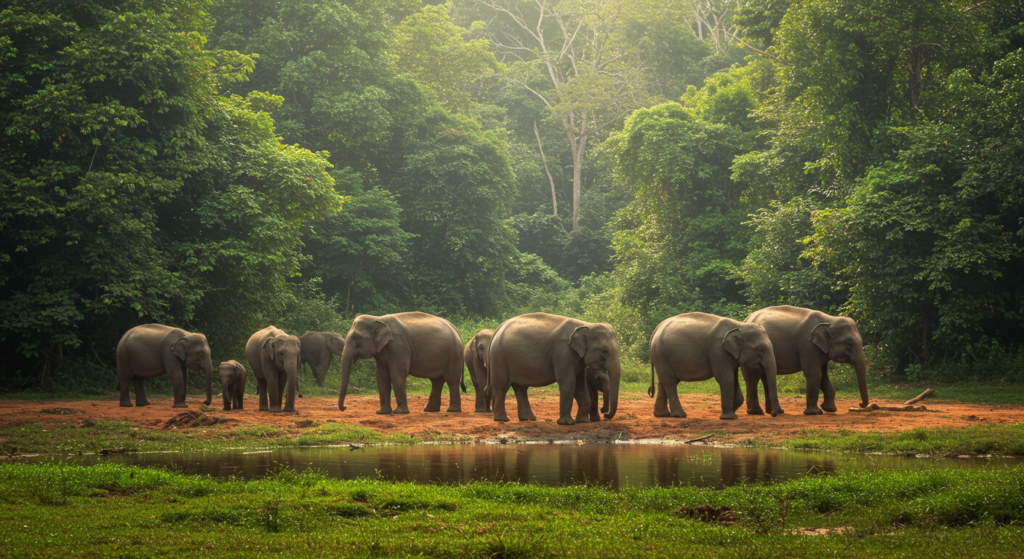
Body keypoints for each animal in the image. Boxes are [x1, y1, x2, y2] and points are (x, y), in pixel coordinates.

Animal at [335, 309, 464, 413]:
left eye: (356, 337)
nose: (345, 407)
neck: (378, 318)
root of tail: (456, 330)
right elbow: (381, 376)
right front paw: (382, 412)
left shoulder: (399, 345)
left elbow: (397, 373)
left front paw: (399, 412)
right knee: (437, 381)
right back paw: (430, 410)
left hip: (454, 354)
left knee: (452, 379)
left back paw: (452, 410)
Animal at [489, 311, 622, 423]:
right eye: (604, 351)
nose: (605, 414)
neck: (587, 324)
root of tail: (498, 328)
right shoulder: (563, 351)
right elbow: (568, 380)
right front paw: (566, 423)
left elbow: (580, 383)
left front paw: (583, 421)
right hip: (500, 356)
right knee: (502, 385)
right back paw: (502, 419)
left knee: (520, 388)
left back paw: (528, 419)